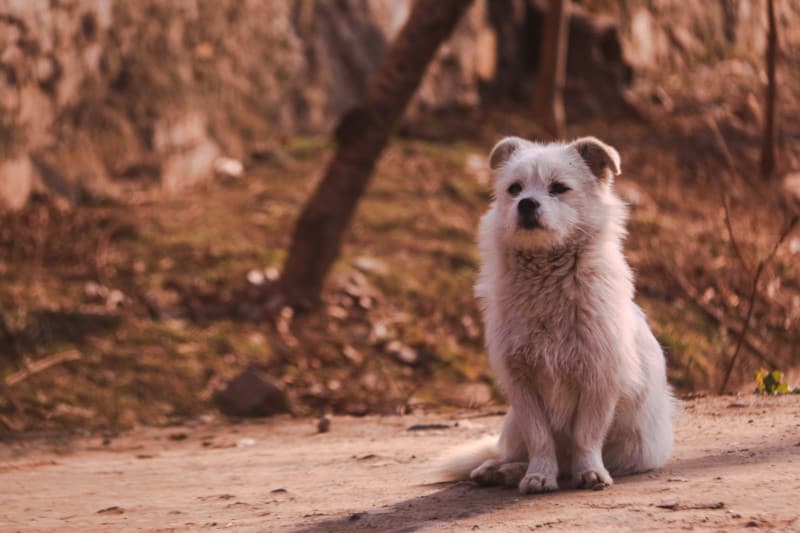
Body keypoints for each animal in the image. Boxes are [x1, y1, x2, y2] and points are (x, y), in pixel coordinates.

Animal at [438, 135, 676, 492]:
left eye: (559, 188)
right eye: (514, 188)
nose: (526, 204)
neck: (546, 275)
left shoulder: (598, 378)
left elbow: (585, 436)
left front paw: (590, 472)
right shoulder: (521, 382)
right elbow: (540, 438)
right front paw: (538, 475)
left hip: (634, 449)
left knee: (567, 461)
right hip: (512, 425)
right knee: (515, 452)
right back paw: (500, 469)